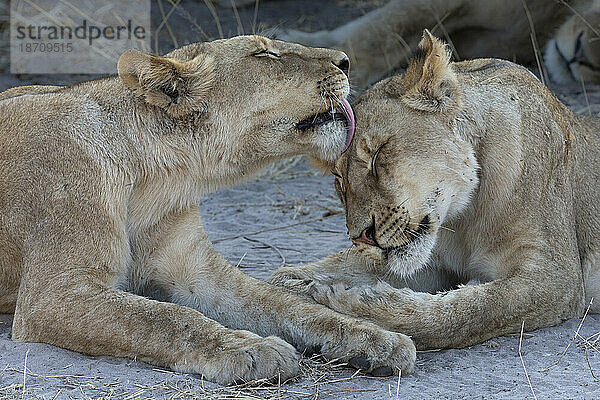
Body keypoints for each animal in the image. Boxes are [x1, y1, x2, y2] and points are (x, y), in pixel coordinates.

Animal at [270, 30, 600, 350]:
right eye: (339, 179)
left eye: (378, 154)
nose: (361, 236)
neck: (466, 215)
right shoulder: (435, 260)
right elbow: (338, 265)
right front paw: (292, 282)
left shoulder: (557, 277)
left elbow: (469, 311)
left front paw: (356, 301)